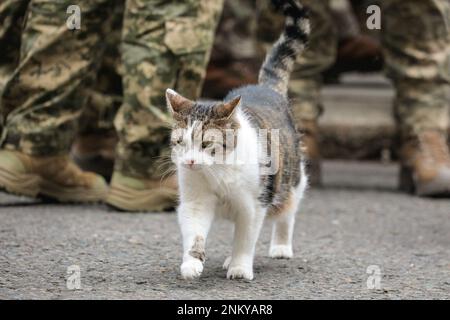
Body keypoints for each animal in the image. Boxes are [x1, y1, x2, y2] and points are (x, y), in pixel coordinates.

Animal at [165, 0, 310, 280]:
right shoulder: (195, 201)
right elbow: (194, 233)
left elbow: (245, 239)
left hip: (291, 180)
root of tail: (264, 88)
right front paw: (192, 262)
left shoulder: (253, 205)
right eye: (181, 143)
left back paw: (281, 246)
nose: (189, 162)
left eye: (206, 144)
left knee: (287, 212)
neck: (218, 171)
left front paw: (240, 267)